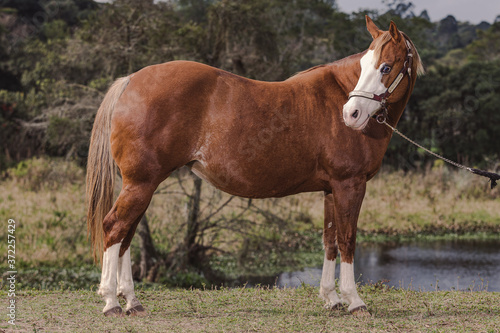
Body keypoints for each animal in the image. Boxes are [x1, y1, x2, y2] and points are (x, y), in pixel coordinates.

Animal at [88, 15, 424, 316]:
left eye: (385, 66)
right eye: (366, 66)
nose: (351, 114)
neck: (336, 95)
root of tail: (131, 80)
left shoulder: (332, 189)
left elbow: (329, 240)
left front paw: (331, 299)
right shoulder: (349, 185)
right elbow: (348, 240)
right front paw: (354, 302)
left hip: (142, 185)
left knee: (126, 235)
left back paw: (132, 302)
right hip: (141, 183)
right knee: (114, 228)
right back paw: (112, 302)